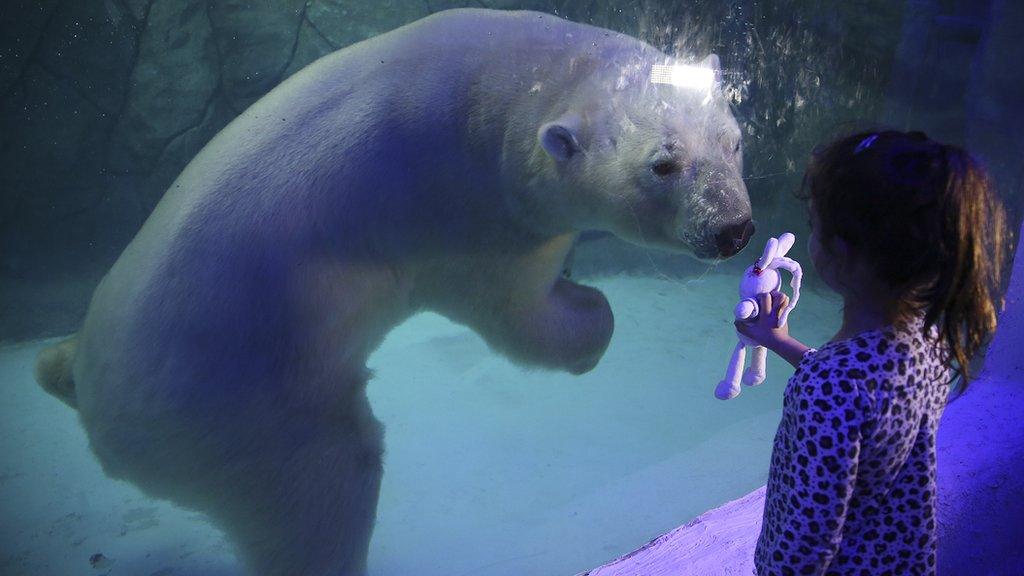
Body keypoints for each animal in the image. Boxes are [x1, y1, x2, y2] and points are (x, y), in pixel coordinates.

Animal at [34, 8, 753, 573]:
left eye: (732, 140)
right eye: (663, 165)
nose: (733, 228)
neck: (510, 85)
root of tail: (98, 399)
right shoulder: (473, 208)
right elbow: (512, 311)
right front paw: (587, 315)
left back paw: (52, 365)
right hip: (241, 408)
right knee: (325, 487)